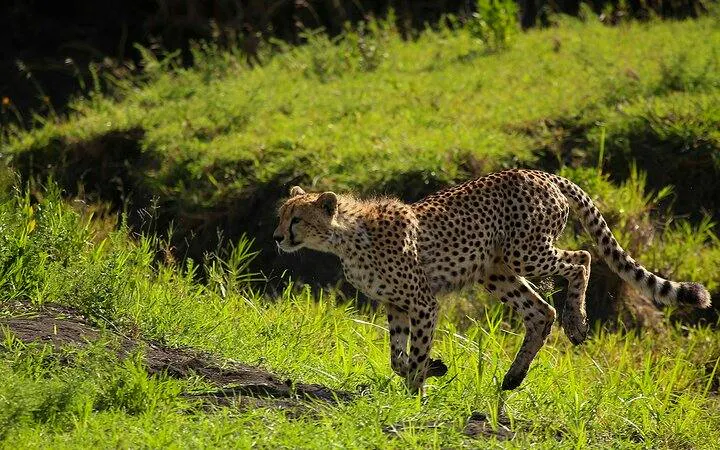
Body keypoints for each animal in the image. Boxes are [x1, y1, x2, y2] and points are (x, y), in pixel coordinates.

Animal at [273, 169, 712, 393]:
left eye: (297, 219)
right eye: (281, 216)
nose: (277, 237)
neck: (347, 237)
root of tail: (538, 172)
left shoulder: (422, 301)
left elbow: (412, 354)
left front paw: (415, 395)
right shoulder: (396, 304)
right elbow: (397, 358)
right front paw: (431, 371)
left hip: (525, 253)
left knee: (582, 259)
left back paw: (577, 322)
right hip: (495, 271)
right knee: (540, 312)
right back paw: (514, 376)